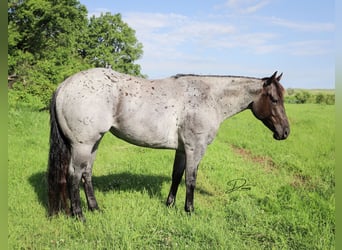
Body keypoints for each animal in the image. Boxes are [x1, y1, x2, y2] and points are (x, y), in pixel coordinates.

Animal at [47, 67, 288, 220]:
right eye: (274, 99)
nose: (285, 132)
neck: (208, 97)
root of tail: (64, 86)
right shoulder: (195, 148)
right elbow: (191, 179)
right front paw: (189, 210)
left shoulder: (182, 150)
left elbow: (177, 176)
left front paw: (170, 204)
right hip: (82, 145)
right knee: (74, 175)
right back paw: (79, 216)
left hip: (94, 143)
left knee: (86, 174)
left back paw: (95, 208)